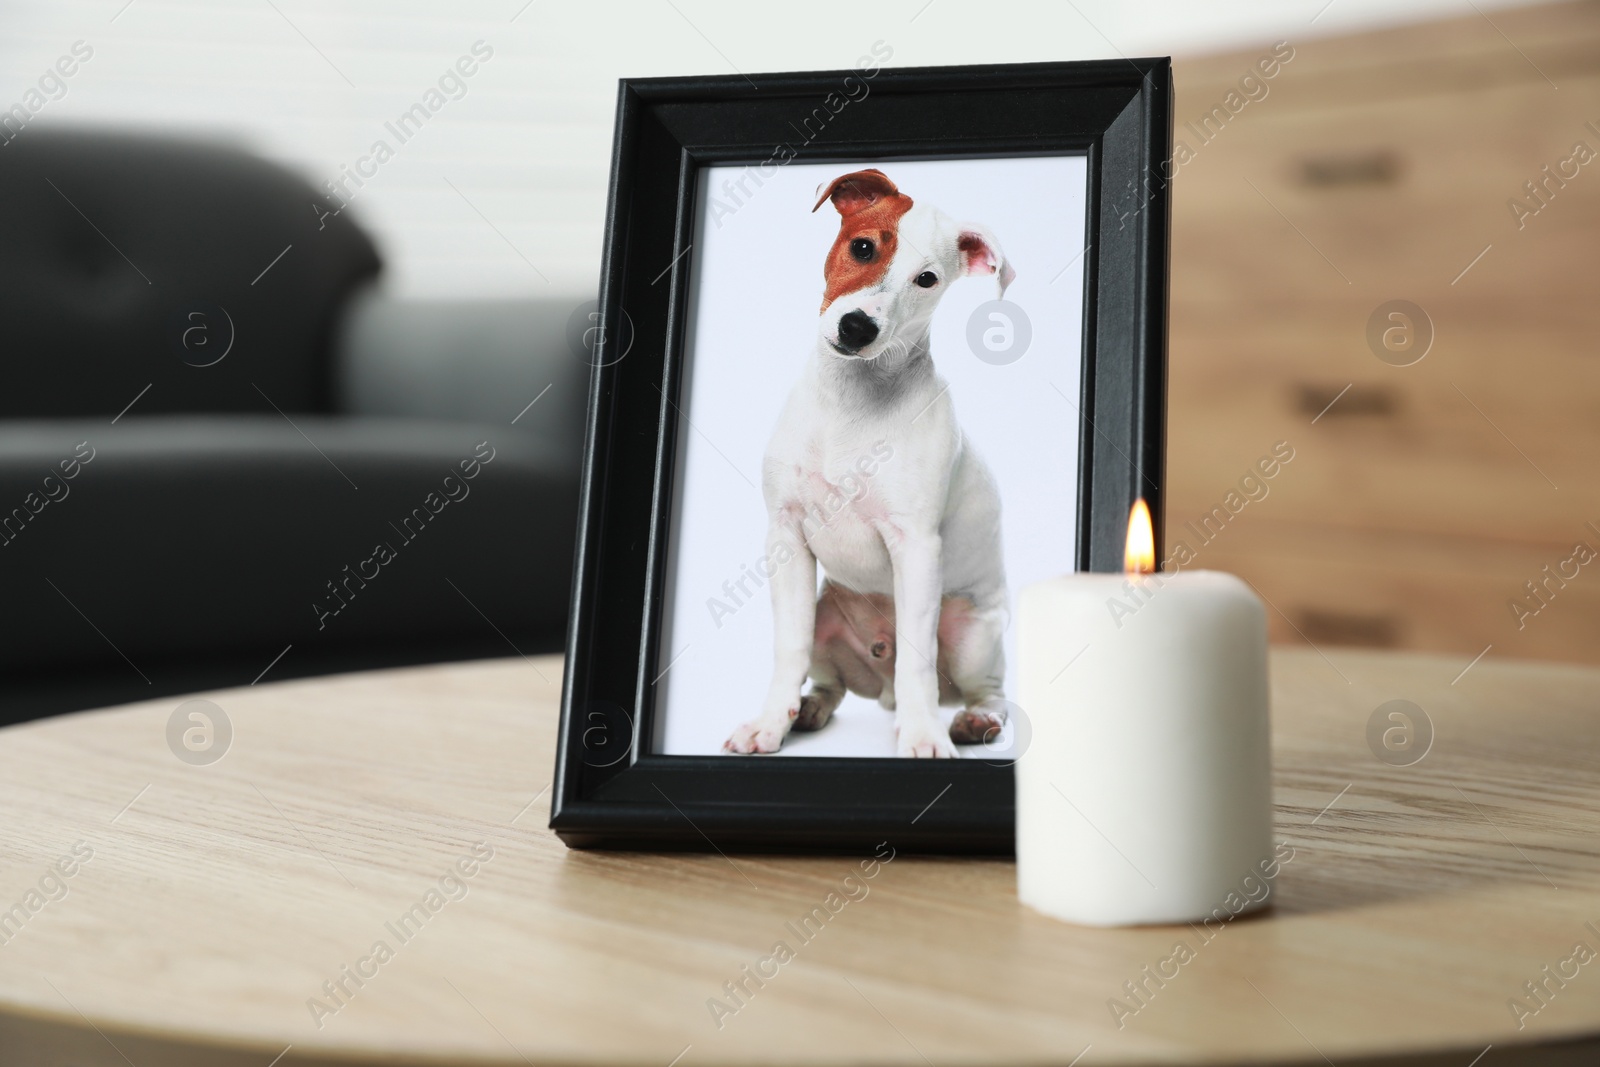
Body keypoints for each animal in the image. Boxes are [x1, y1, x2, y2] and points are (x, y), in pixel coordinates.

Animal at [726, 168, 1011, 758]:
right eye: (862, 247)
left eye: (927, 279)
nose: (858, 327)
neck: (851, 404)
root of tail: (880, 689)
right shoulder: (785, 536)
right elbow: (787, 648)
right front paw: (769, 723)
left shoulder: (918, 548)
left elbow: (919, 661)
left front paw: (924, 737)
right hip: (826, 616)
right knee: (830, 684)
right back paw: (807, 711)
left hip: (973, 632)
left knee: (987, 689)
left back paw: (973, 721)